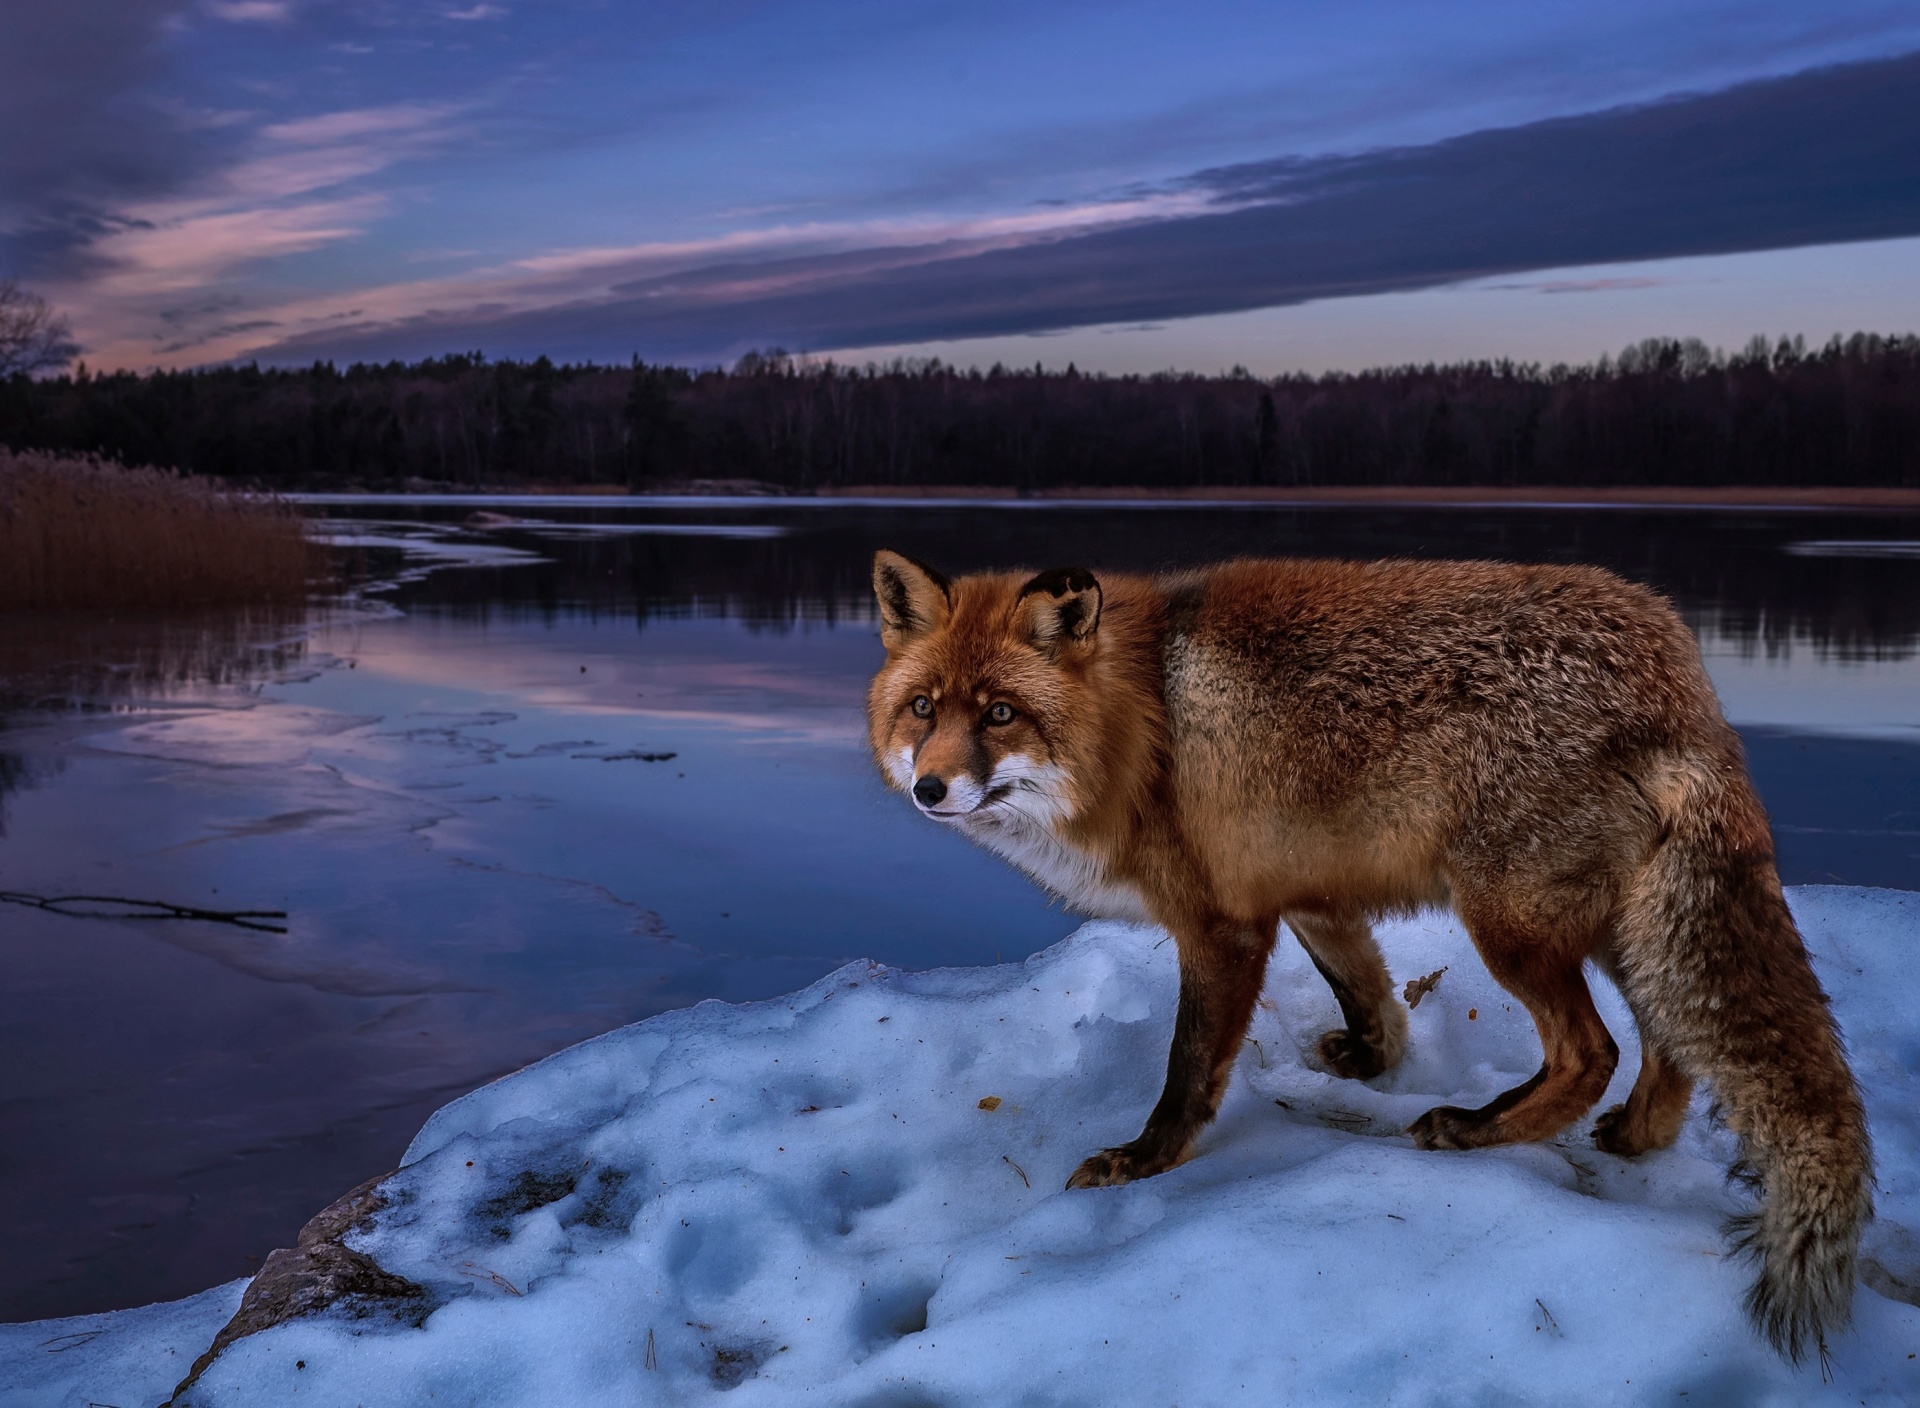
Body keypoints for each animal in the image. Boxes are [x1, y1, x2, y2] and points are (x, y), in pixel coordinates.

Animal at [871, 545, 1873, 1359]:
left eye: (1001, 714)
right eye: (923, 708)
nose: (929, 789)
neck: (1144, 723)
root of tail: (1676, 666)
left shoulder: (1221, 925)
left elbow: (1188, 1071)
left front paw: (1144, 1161)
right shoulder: (1309, 895)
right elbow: (1370, 993)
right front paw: (1371, 1060)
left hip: (1511, 926)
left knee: (1593, 1052)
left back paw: (1475, 1131)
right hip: (1619, 924)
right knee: (1669, 1047)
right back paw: (1632, 1137)